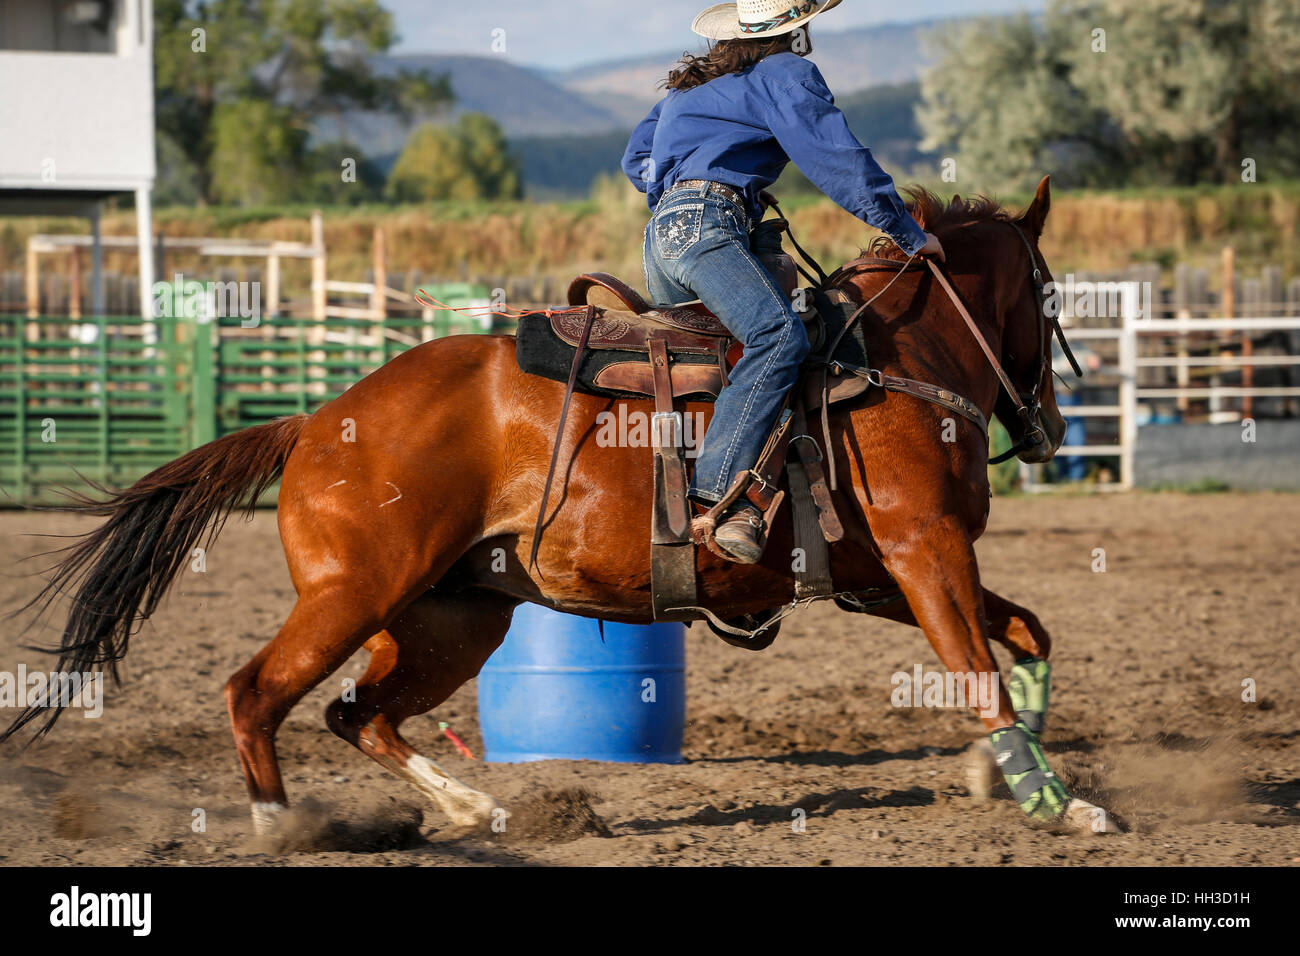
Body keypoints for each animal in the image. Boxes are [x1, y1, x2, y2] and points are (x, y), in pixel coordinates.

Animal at [2, 175, 1118, 832]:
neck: (892, 359)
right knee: (255, 694)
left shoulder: (882, 573)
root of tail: (317, 418)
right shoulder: (925, 550)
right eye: (1048, 292)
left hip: (453, 617)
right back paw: (286, 826)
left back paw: (472, 809)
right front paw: (1054, 801)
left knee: (357, 712)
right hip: (350, 594)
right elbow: (978, 667)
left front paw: (1005, 773)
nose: (1056, 424)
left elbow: (1027, 633)